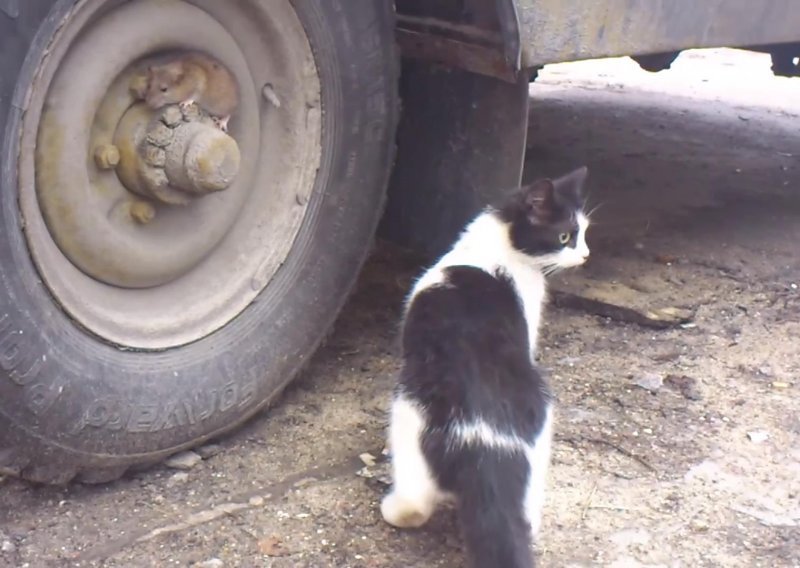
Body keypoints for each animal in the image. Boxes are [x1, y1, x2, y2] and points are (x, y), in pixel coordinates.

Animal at [378, 166, 592, 564]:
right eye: (565, 236)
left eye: (583, 232)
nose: (586, 254)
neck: (501, 251)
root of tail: (486, 449)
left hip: (406, 416)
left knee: (416, 504)